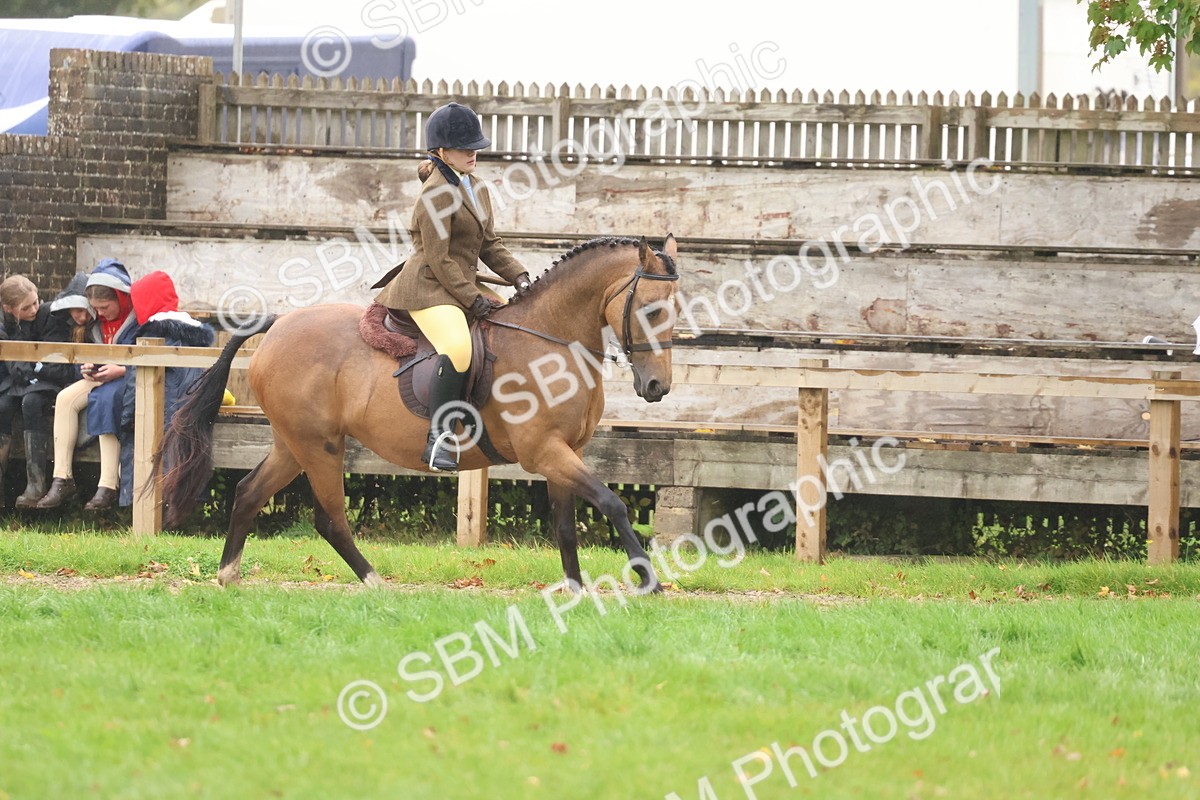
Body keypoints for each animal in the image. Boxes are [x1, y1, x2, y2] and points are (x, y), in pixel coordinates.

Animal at [159, 235, 681, 592]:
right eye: (653, 311)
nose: (657, 387)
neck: (549, 338)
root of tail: (280, 323)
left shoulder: (564, 453)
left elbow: (567, 527)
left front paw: (574, 589)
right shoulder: (544, 452)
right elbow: (612, 503)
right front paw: (647, 579)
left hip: (293, 444)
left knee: (249, 493)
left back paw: (229, 575)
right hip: (318, 445)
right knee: (330, 518)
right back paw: (374, 582)